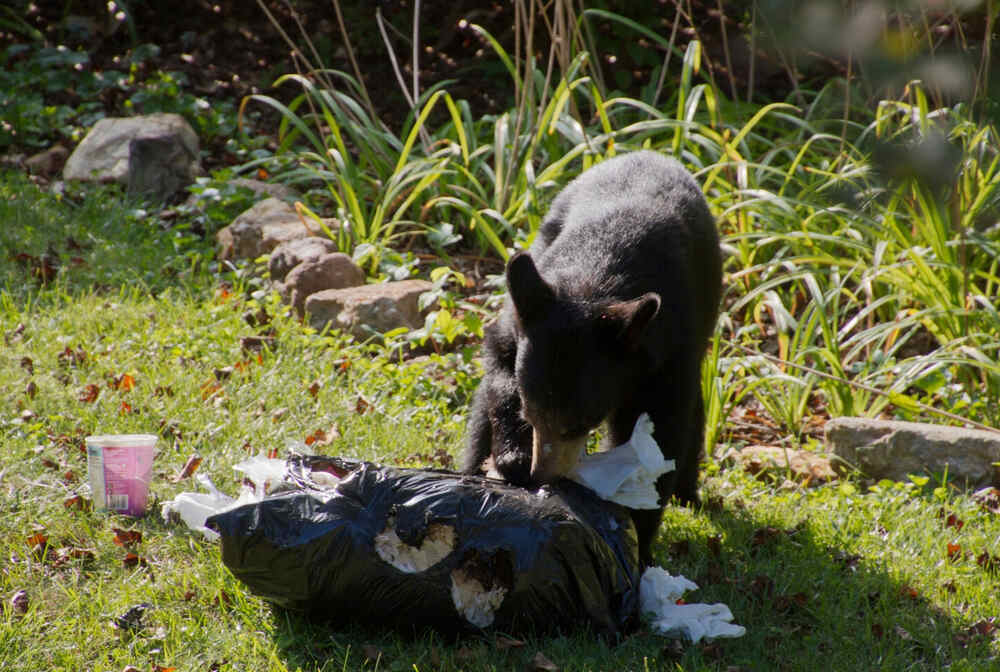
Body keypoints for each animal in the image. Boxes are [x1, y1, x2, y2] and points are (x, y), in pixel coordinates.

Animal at [462, 150, 723, 566]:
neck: (593, 279)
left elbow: (661, 434)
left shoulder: (668, 351)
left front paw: (638, 535)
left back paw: (688, 492)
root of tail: (649, 153)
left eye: (579, 424)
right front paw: (512, 455)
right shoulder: (524, 313)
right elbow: (499, 370)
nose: (542, 476)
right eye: (530, 414)